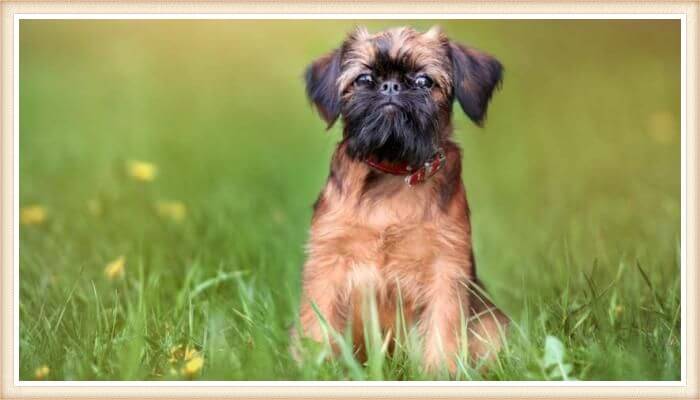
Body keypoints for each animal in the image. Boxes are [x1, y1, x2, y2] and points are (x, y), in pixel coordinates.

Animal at [296, 26, 508, 374]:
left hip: (491, 322)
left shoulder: (445, 270)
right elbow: (318, 324)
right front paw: (315, 369)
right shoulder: (328, 265)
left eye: (423, 81)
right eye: (364, 79)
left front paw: (439, 373)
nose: (391, 86)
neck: (393, 170)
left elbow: (442, 328)